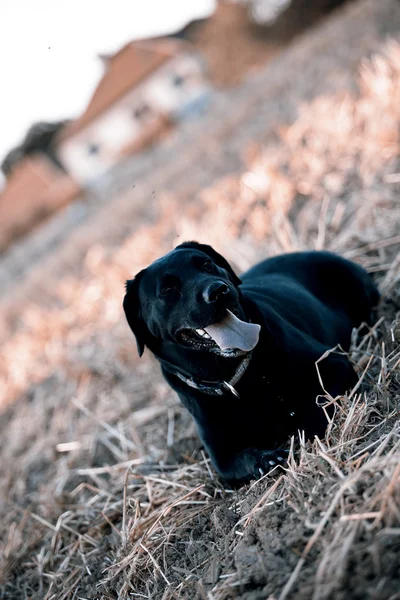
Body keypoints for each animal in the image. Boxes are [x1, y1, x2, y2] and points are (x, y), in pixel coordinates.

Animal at [123, 241, 380, 486]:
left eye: (206, 264)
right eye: (168, 289)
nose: (218, 290)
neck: (235, 378)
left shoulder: (333, 365)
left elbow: (316, 410)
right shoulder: (221, 455)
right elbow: (239, 462)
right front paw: (267, 458)